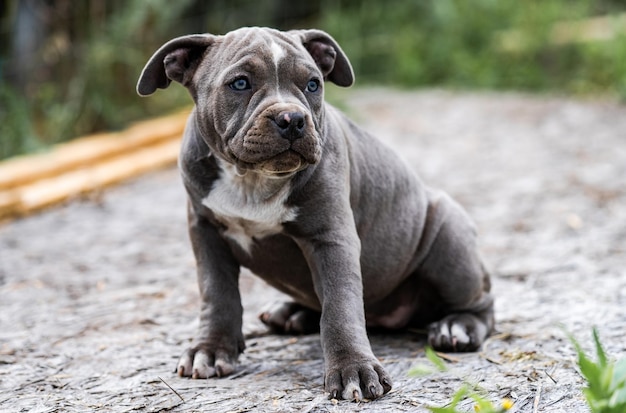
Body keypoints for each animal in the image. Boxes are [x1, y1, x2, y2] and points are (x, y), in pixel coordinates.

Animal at [136, 25, 492, 400]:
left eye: (312, 85)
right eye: (240, 83)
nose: (292, 118)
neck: (251, 180)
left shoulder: (330, 239)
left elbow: (339, 306)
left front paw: (353, 370)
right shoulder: (205, 232)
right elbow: (216, 294)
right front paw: (210, 349)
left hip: (450, 241)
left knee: (482, 302)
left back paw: (457, 327)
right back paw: (291, 313)